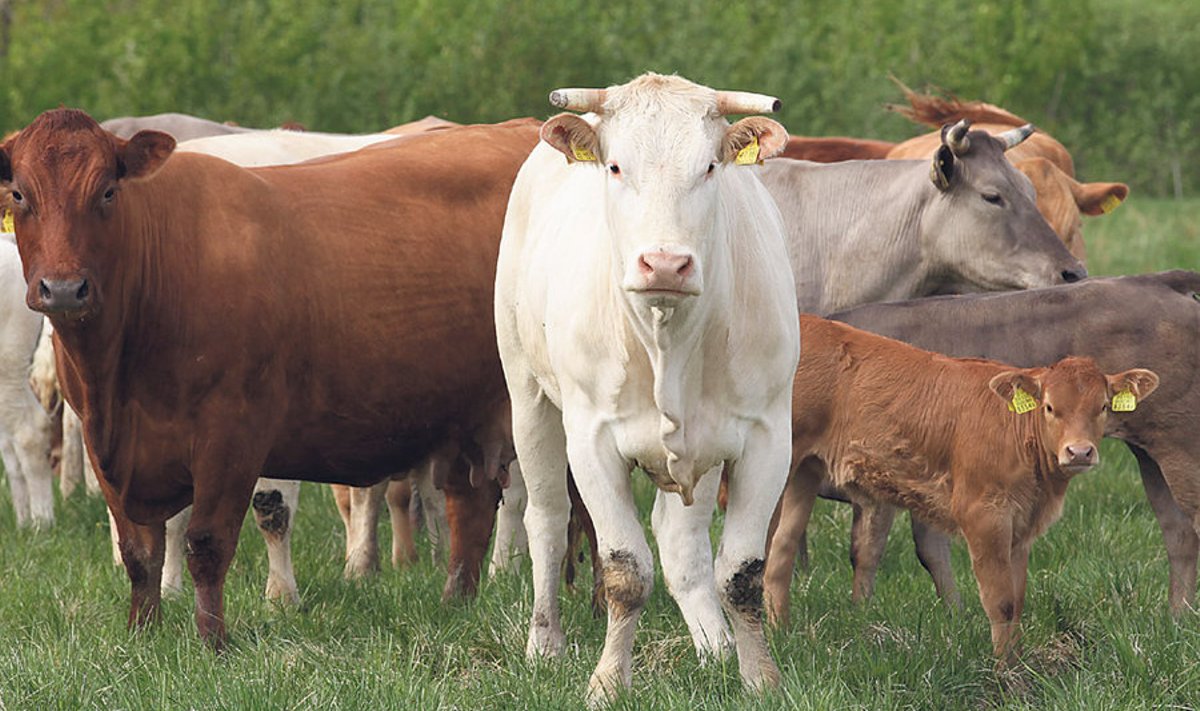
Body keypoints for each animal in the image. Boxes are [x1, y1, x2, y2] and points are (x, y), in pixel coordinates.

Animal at [0, 108, 537, 648]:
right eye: (20, 194)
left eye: (108, 191)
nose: (63, 288)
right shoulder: (105, 443)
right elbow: (139, 550)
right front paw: (142, 635)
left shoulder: (232, 432)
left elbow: (208, 542)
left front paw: (214, 642)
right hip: (467, 413)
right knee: (470, 505)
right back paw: (455, 602)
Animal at [492, 72, 801, 701]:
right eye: (614, 167)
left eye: (709, 166)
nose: (664, 263)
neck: (670, 340)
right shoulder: (591, 439)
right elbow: (625, 570)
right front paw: (608, 682)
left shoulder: (766, 437)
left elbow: (741, 572)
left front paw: (759, 678)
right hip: (528, 398)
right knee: (547, 518)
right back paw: (544, 643)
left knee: (681, 542)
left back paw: (713, 645)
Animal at [763, 317, 1156, 662]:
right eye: (1049, 407)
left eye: (1102, 407)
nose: (1079, 452)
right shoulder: (983, 515)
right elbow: (1001, 602)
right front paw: (1004, 675)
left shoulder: (1021, 527)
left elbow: (1018, 600)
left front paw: (1019, 665)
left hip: (805, 471)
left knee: (781, 552)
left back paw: (781, 632)